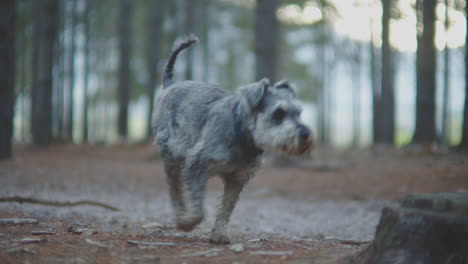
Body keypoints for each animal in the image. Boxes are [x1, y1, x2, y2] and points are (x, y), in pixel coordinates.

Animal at [154, 35, 314, 245]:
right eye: (278, 113)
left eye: (299, 112)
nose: (305, 134)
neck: (242, 133)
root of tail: (169, 84)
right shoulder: (197, 165)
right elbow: (198, 206)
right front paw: (189, 221)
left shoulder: (237, 178)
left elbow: (226, 208)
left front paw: (220, 234)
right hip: (171, 154)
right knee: (174, 187)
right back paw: (181, 214)